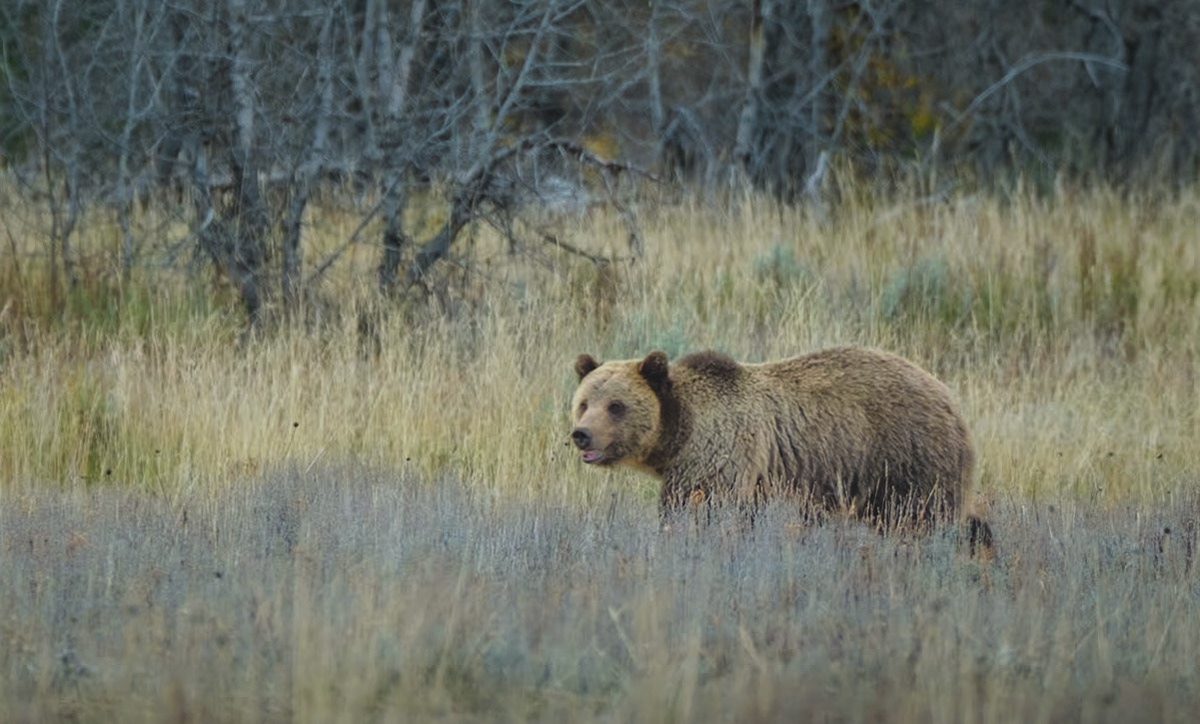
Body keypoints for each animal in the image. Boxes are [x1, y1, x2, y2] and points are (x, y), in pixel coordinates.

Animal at [570, 347, 992, 550]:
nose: (581, 435)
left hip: (904, 455)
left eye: (616, 406)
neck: (682, 429)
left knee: (924, 516)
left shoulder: (721, 453)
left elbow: (701, 509)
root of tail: (947, 395)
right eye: (584, 402)